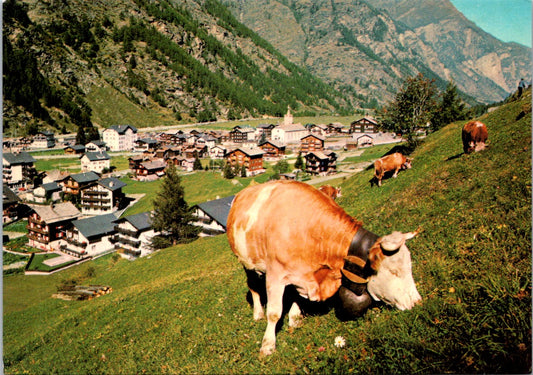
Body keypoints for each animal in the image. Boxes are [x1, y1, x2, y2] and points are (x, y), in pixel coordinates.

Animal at [224, 181, 420, 356]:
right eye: (394, 272)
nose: (418, 302)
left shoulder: (303, 273)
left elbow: (299, 297)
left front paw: (294, 318)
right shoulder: (275, 274)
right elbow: (274, 312)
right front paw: (267, 346)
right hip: (246, 262)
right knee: (253, 287)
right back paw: (258, 313)